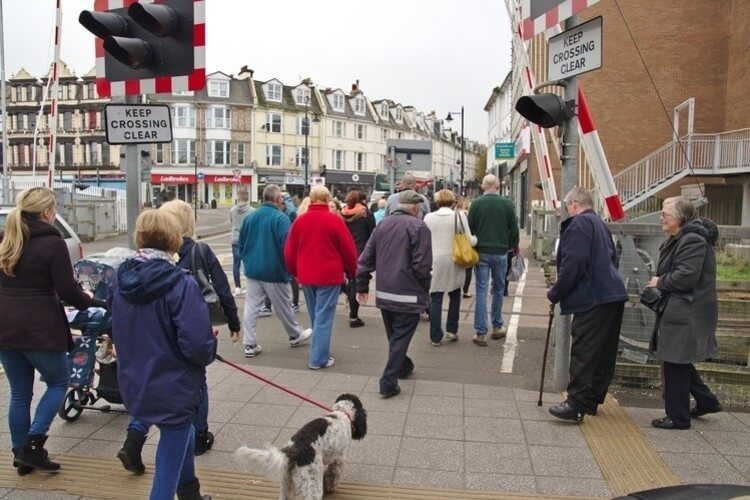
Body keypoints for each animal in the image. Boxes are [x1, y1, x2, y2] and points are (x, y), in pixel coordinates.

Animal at [234, 394, 366, 500]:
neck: (341, 413)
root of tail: (292, 451)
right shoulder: (339, 458)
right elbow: (333, 476)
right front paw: (331, 488)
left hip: (285, 485)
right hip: (312, 486)